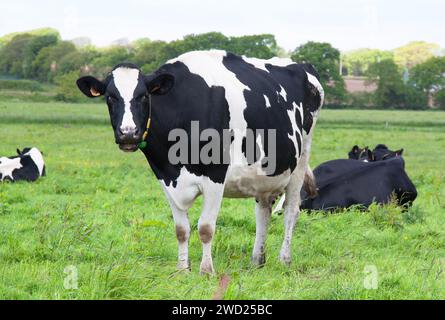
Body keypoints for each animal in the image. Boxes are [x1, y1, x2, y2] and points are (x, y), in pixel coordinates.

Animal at [76, 49, 324, 272]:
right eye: (110, 97)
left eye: (143, 96)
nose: (128, 134)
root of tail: (301, 65)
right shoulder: (166, 178)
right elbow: (181, 229)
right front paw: (182, 270)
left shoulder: (215, 175)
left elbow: (205, 228)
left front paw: (206, 271)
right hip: (264, 174)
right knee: (263, 212)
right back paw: (257, 260)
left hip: (300, 161)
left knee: (291, 211)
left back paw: (285, 260)